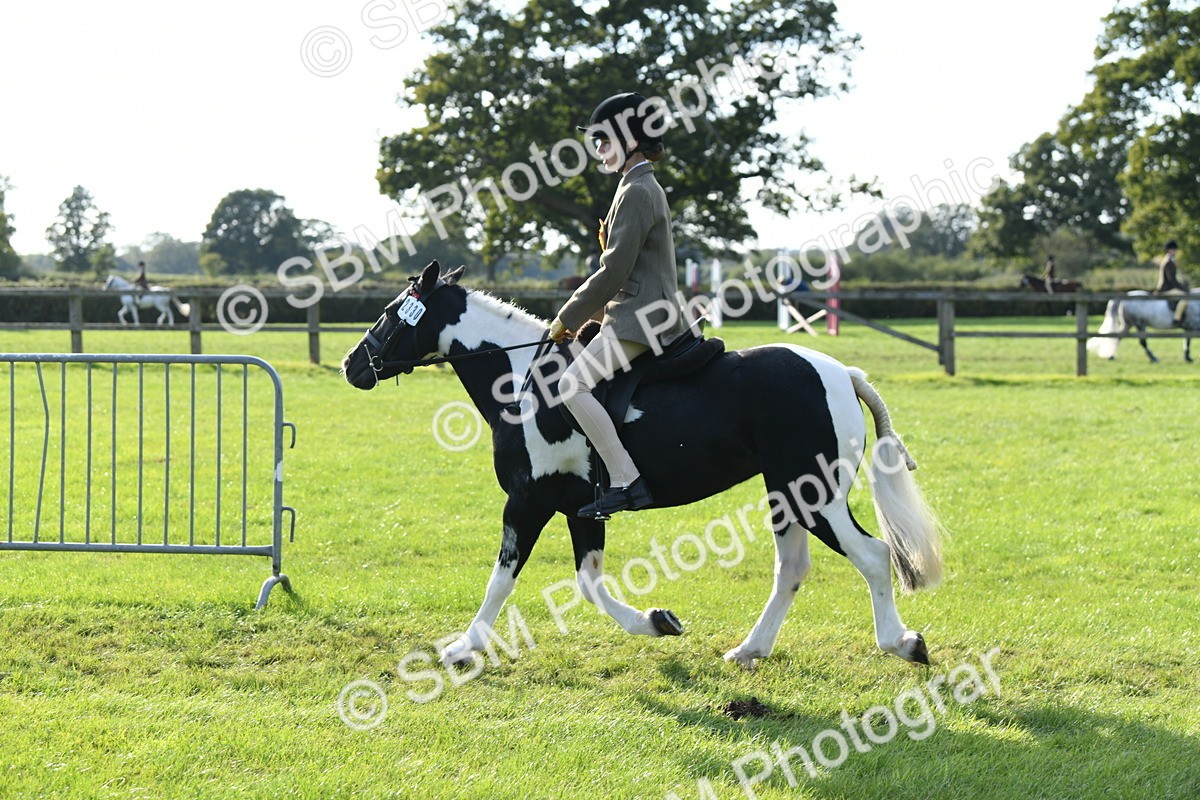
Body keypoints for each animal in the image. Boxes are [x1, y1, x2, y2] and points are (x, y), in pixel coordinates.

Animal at [342, 262, 944, 671]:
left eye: (390, 314)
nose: (352, 366)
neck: (522, 381)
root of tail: (840, 372)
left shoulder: (528, 502)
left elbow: (501, 581)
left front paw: (463, 648)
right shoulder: (580, 509)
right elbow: (589, 584)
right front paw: (656, 622)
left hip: (814, 493)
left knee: (873, 556)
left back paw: (901, 642)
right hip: (786, 494)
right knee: (792, 569)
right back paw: (750, 649)